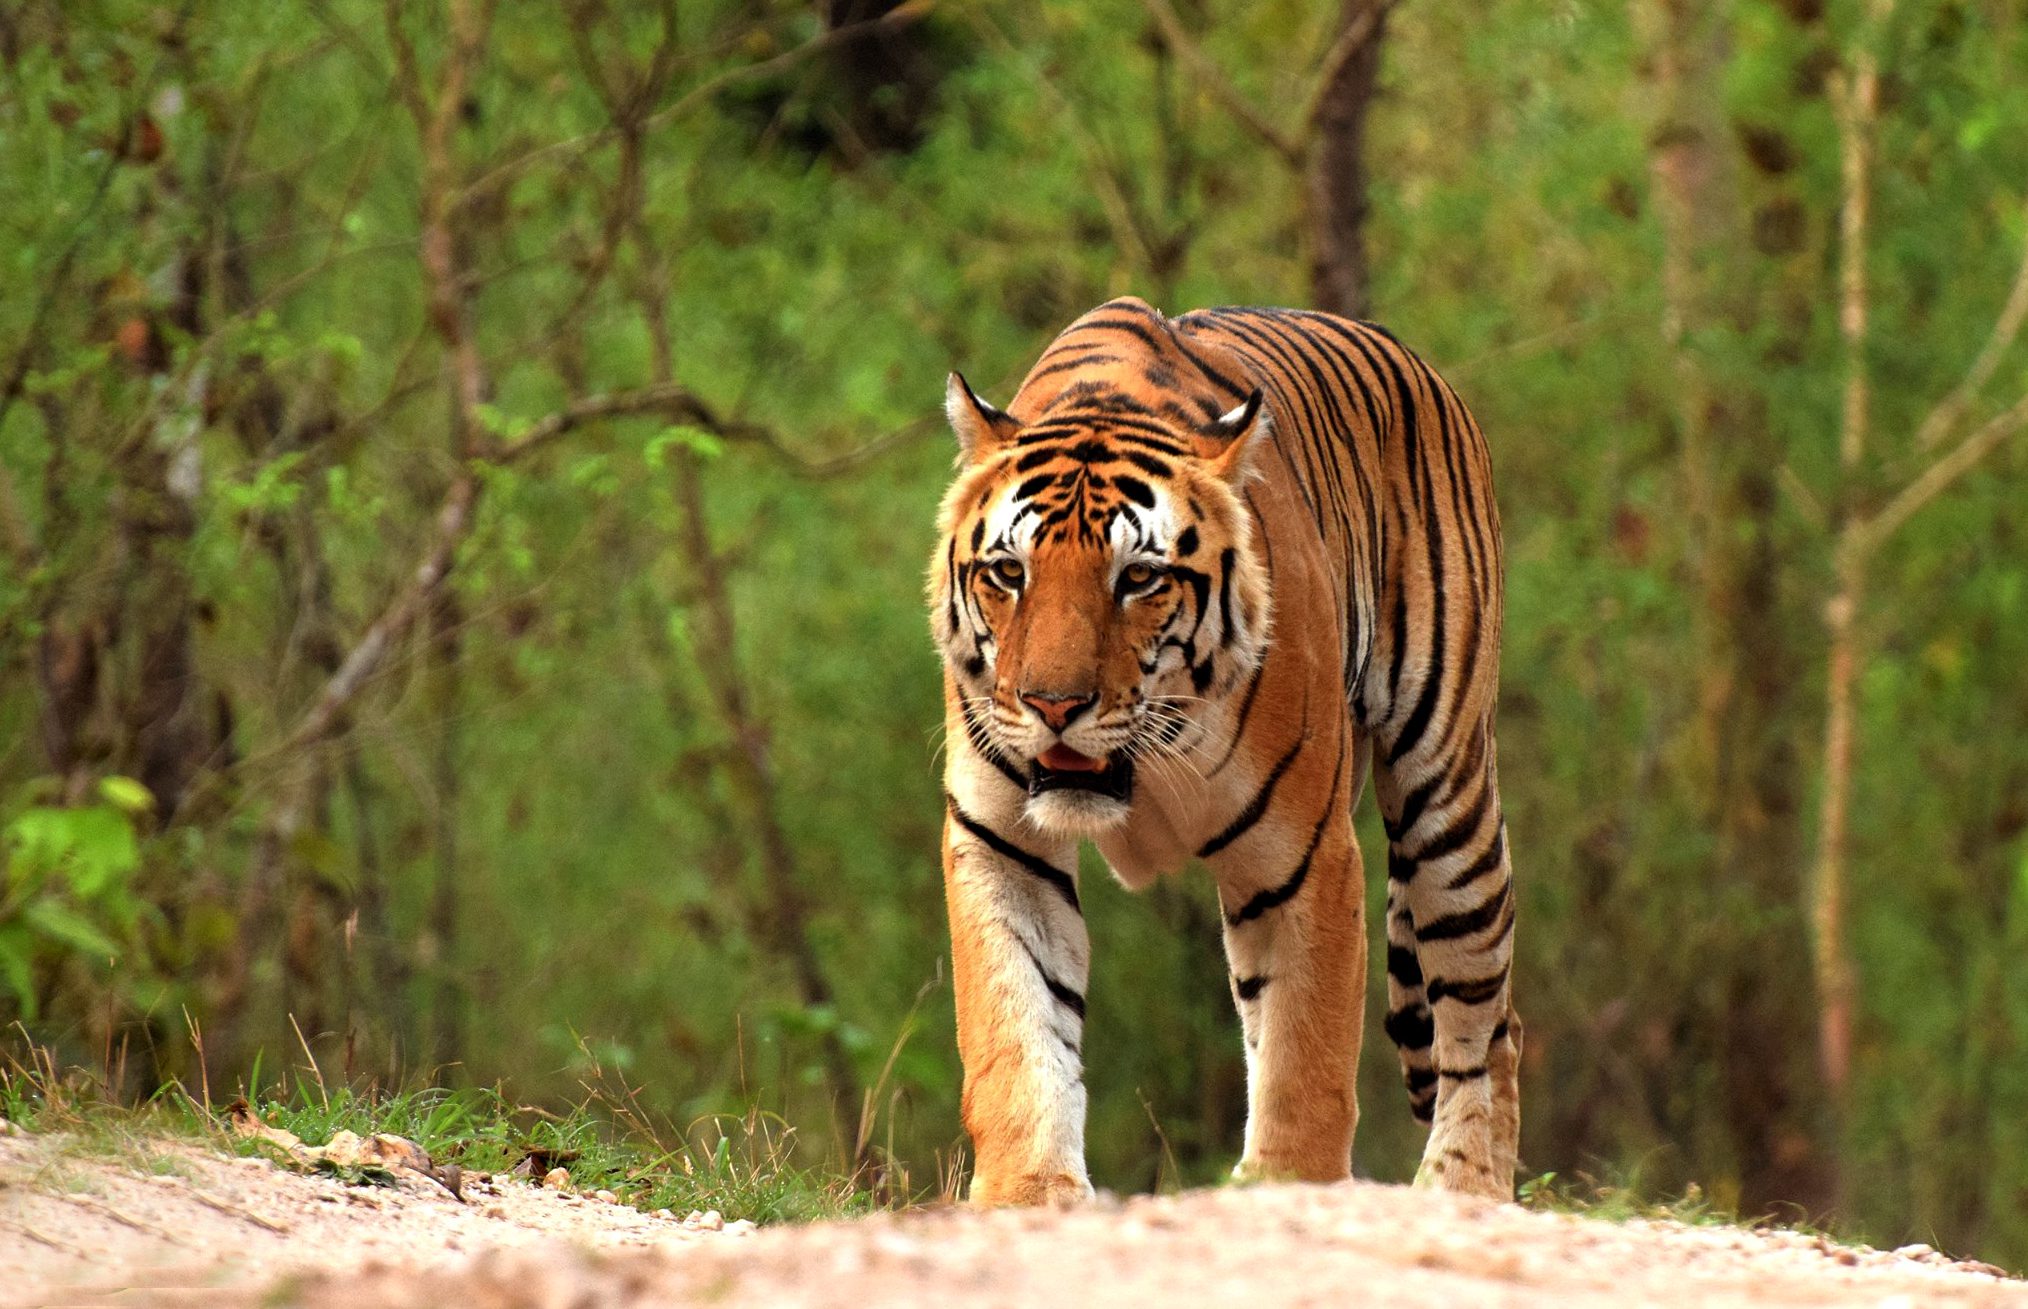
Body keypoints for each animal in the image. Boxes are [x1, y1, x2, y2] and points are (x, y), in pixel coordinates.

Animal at [928, 296, 1516, 1201]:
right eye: (1008, 572)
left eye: (1138, 578)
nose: (1053, 705)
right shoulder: (1001, 841)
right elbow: (1016, 1030)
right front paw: (1027, 1190)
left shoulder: (1305, 856)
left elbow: (1307, 1051)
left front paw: (1286, 1186)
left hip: (1446, 797)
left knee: (1486, 1016)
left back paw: (1466, 1187)